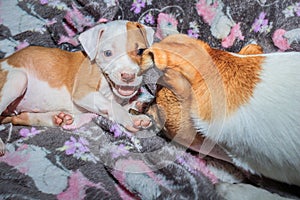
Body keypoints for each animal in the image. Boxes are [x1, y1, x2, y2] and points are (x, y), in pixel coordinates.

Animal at [0, 19, 155, 155]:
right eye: (108, 53)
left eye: (140, 51)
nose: (128, 76)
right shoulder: (83, 92)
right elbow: (113, 105)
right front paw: (130, 119)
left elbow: (122, 104)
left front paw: (138, 109)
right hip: (18, 79)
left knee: (19, 118)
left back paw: (60, 118)